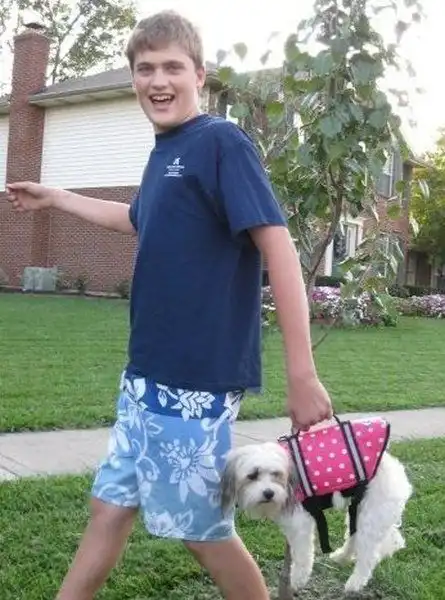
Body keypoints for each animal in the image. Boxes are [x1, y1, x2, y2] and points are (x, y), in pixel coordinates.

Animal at [220, 416, 413, 594]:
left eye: (276, 474)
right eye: (252, 476)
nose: (269, 493)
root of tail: (396, 471)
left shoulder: (301, 524)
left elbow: (303, 555)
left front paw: (297, 579)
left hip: (372, 516)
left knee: (369, 555)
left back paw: (355, 582)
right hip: (358, 510)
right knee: (354, 536)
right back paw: (342, 556)